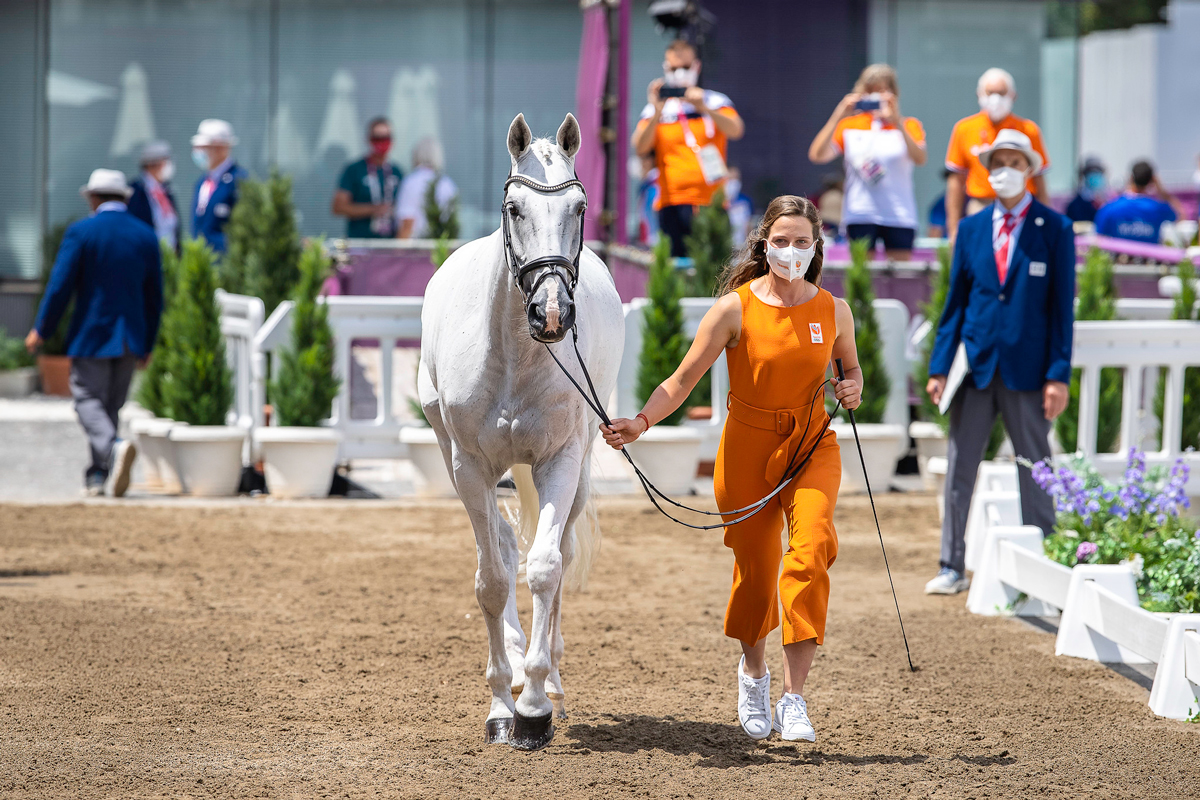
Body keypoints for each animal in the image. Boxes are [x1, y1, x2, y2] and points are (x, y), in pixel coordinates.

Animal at [417, 112, 624, 753]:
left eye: (580, 207)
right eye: (514, 208)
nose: (551, 313)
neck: (512, 352)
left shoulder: (559, 460)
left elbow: (547, 567)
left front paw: (533, 707)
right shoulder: (470, 467)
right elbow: (492, 578)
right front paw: (500, 706)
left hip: (577, 469)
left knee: (558, 552)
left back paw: (549, 674)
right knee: (508, 550)